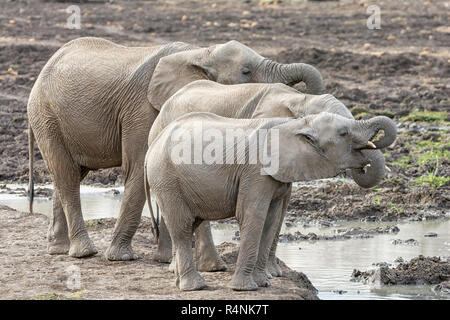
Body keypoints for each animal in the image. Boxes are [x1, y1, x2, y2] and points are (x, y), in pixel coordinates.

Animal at [27, 37, 324, 260]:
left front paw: (165, 259)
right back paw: (85, 253)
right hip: (45, 113)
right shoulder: (143, 109)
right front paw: (123, 257)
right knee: (66, 174)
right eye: (246, 72)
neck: (200, 53)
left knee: (69, 174)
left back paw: (58, 249)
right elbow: (139, 169)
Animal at [146, 80, 396, 276]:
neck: (300, 99)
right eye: (343, 134)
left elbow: (281, 208)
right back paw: (211, 268)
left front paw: (272, 274)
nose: (363, 164)